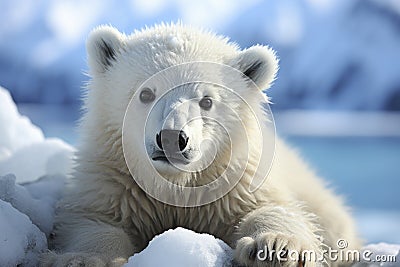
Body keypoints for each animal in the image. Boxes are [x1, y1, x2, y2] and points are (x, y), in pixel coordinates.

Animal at [41, 24, 362, 266]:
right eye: (145, 93)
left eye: (206, 100)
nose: (172, 138)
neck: (177, 185)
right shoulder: (114, 183)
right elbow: (92, 220)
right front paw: (81, 259)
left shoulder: (237, 183)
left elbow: (273, 208)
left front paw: (274, 247)